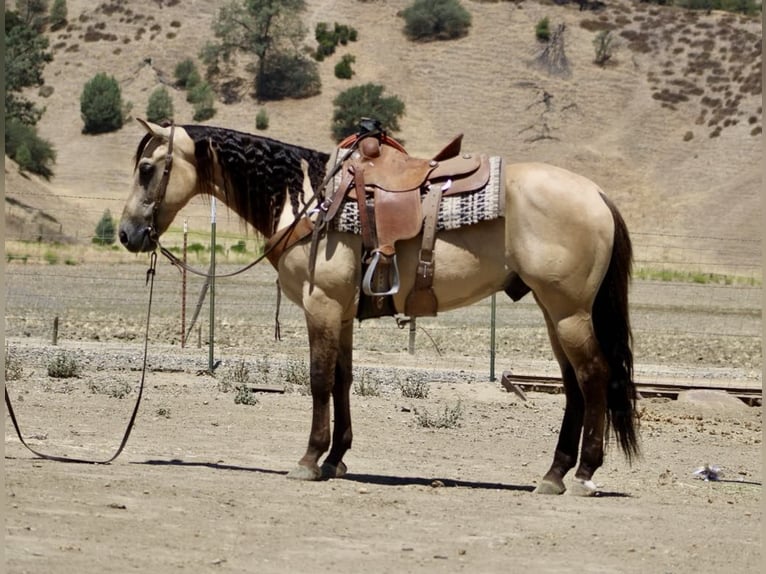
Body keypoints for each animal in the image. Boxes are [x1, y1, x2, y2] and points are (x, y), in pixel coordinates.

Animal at [119, 119, 639, 496]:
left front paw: (309, 460)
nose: (127, 233)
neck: (306, 201)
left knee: (592, 376)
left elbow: (318, 379)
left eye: (146, 167)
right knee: (573, 384)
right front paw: (336, 459)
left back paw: (584, 474)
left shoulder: (322, 305)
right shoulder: (342, 312)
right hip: (555, 312)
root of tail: (596, 195)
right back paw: (554, 474)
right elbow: (342, 379)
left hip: (569, 310)